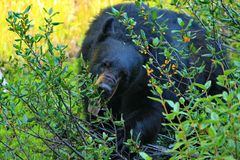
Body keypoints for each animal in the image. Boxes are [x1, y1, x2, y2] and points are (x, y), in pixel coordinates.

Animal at [80, 2, 225, 145]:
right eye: (104, 64)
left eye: (125, 75)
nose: (104, 89)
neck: (129, 34)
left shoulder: (154, 78)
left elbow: (150, 109)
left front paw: (125, 138)